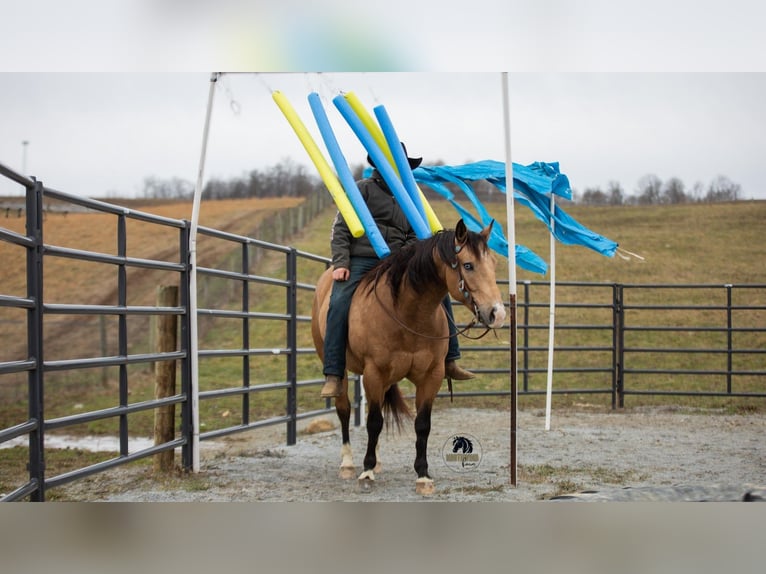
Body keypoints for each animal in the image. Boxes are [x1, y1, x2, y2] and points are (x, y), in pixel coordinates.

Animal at [310, 219, 506, 494]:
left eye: (494, 264)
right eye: (468, 265)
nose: (497, 314)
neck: (406, 313)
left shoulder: (431, 376)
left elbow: (422, 424)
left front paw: (422, 475)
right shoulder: (374, 373)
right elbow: (373, 421)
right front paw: (366, 472)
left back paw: (378, 460)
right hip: (341, 371)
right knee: (344, 409)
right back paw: (348, 464)